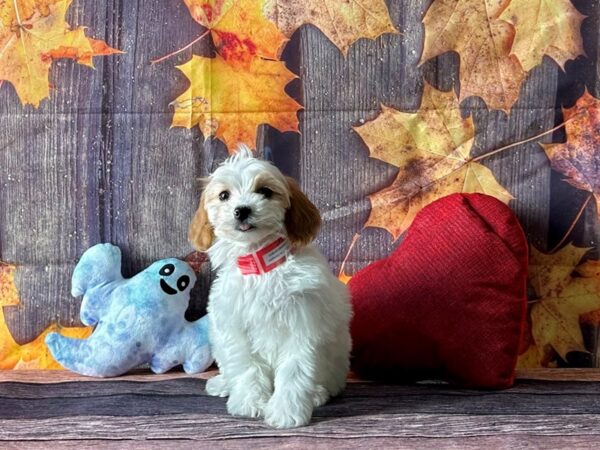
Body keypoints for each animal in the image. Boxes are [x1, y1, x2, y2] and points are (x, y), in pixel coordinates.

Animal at [189, 146, 352, 428]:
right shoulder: (235, 327)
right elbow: (246, 367)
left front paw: (287, 411)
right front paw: (250, 403)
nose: (242, 210)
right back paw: (224, 384)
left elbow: (294, 371)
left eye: (265, 191)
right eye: (224, 195)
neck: (261, 265)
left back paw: (317, 393)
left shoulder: (302, 326)